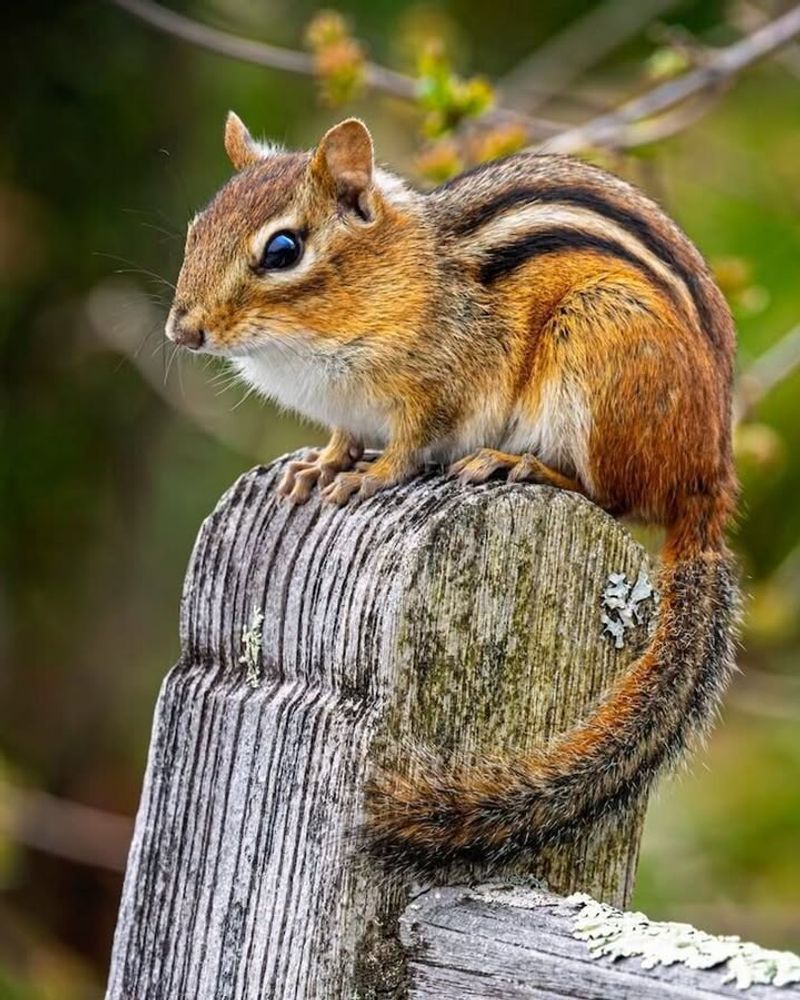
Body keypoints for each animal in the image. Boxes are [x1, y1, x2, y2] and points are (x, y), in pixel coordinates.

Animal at [166, 113, 738, 874]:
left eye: (283, 250)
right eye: (197, 229)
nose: (182, 329)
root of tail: (707, 478)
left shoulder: (442, 386)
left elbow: (412, 444)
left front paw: (371, 476)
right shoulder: (348, 410)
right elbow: (342, 436)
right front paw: (320, 464)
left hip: (599, 342)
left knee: (611, 496)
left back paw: (518, 466)